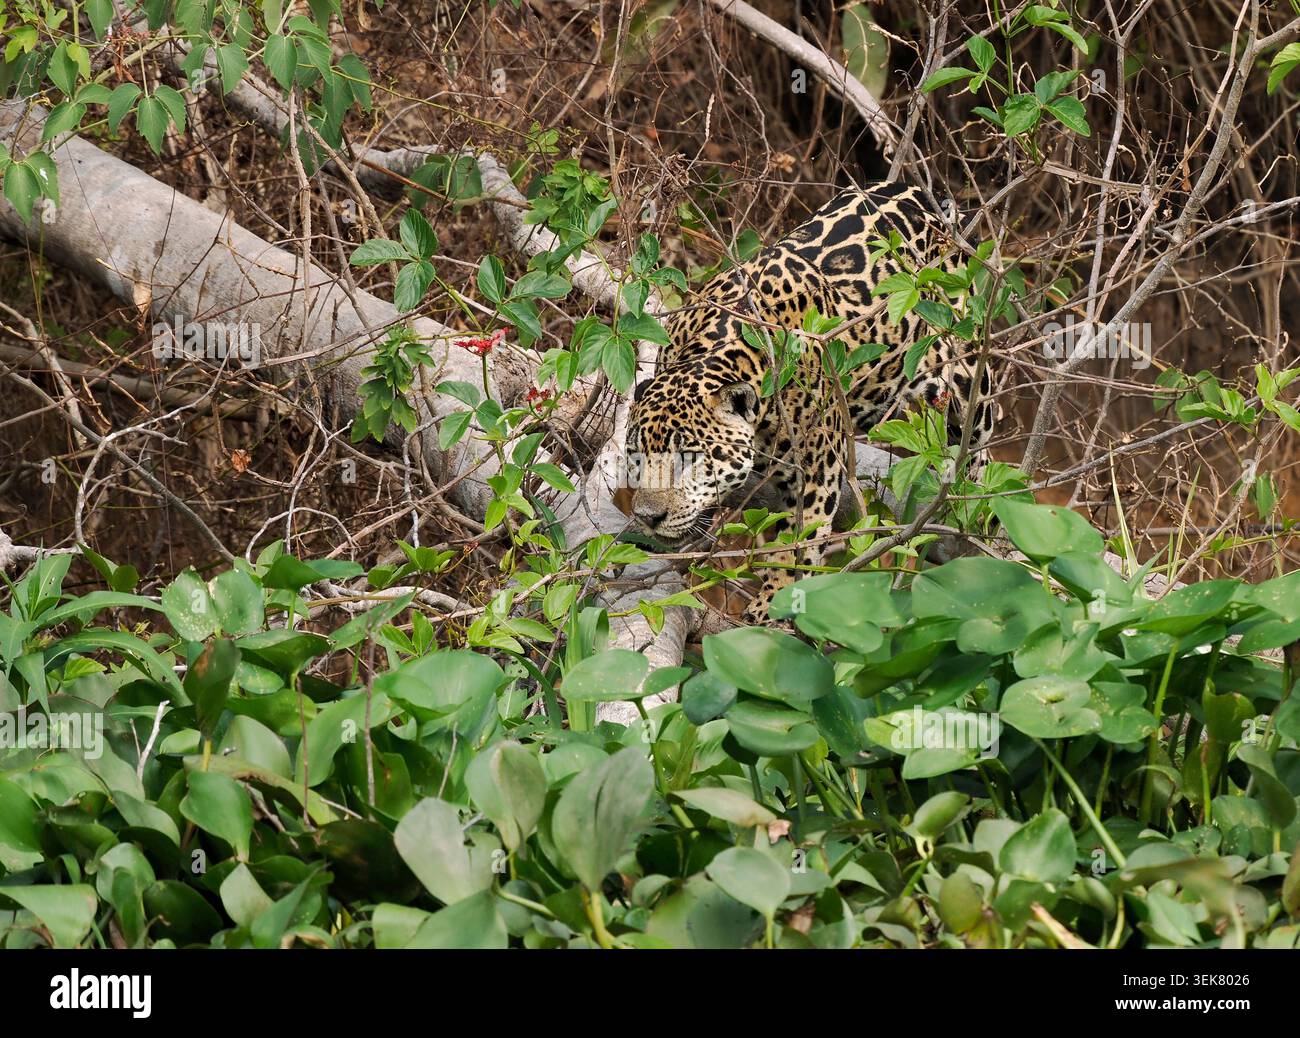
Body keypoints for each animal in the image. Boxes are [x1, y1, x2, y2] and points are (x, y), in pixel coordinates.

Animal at [624, 181, 1000, 620]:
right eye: (636, 455)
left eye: (690, 457)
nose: (648, 518)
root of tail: (918, 193)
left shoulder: (817, 473)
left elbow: (795, 546)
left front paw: (770, 605)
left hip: (966, 368)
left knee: (981, 434)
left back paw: (975, 509)